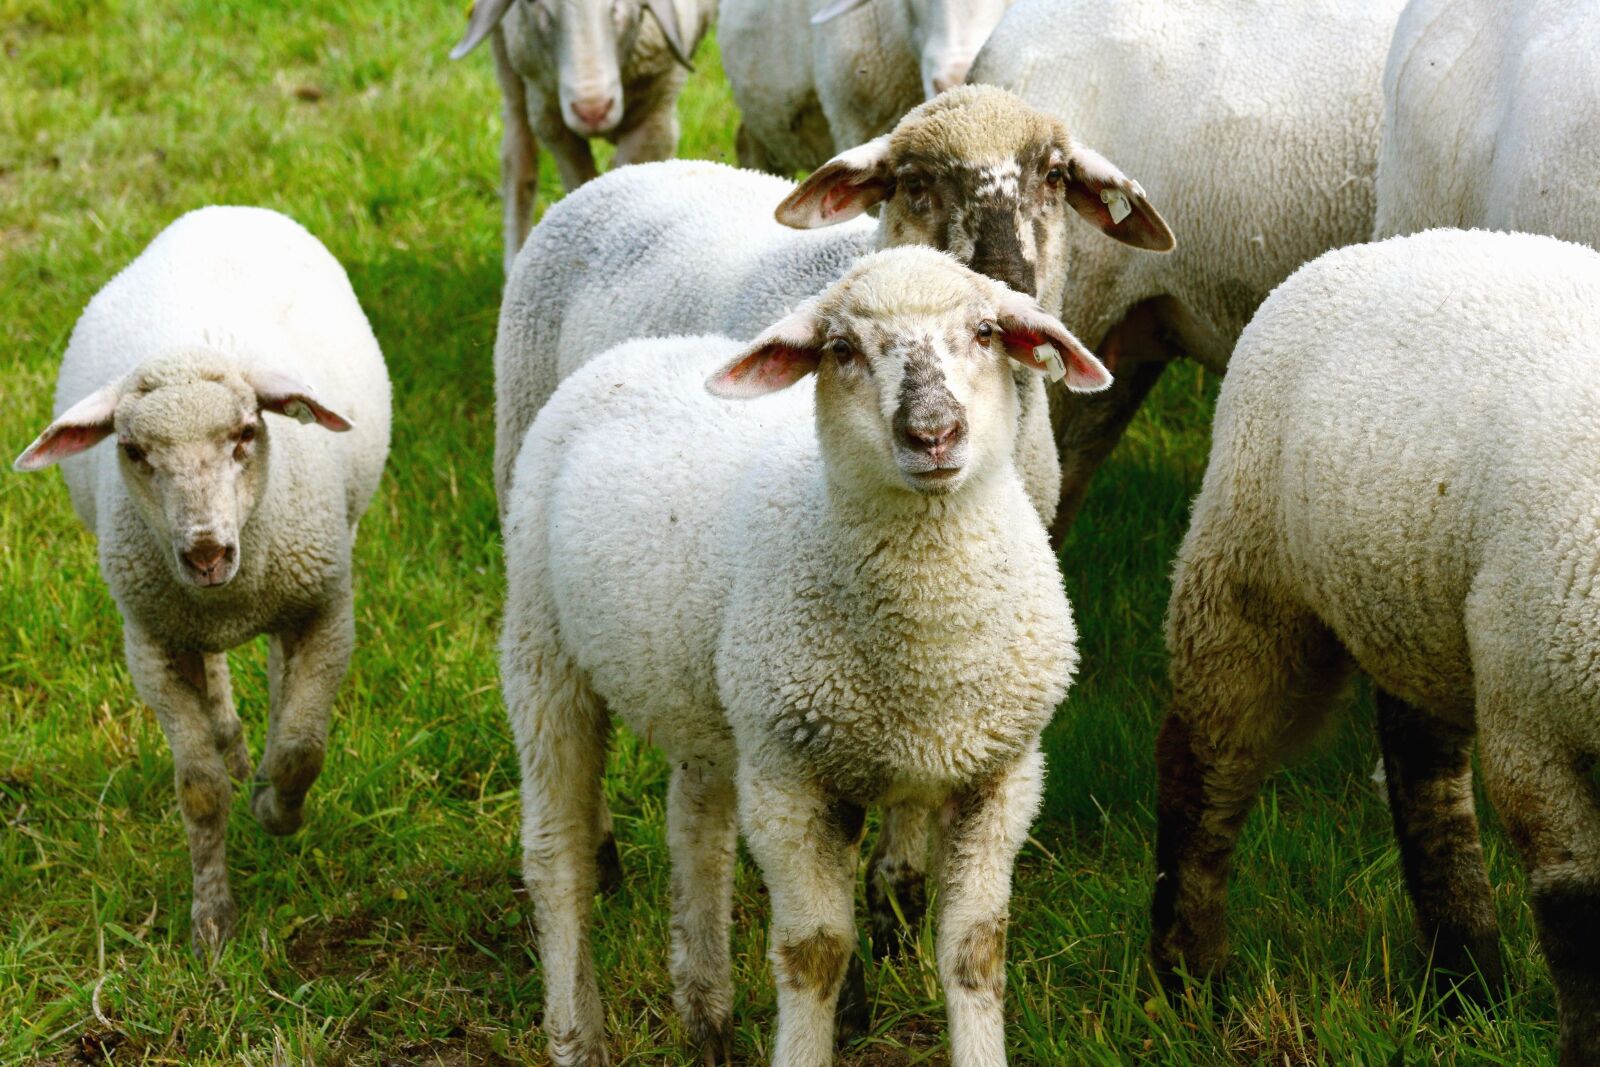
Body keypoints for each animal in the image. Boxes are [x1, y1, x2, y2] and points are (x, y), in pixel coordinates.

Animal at [13, 206, 391, 953]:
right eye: (133, 450)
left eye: (246, 432)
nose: (207, 553)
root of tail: (223, 209)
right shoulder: (152, 644)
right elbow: (199, 789)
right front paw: (212, 923)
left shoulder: (327, 610)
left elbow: (303, 747)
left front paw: (277, 810)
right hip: (181, 616)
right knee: (217, 680)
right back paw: (236, 745)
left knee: (277, 677)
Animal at [449, 0, 713, 275]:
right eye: (537, 5)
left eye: (617, 7)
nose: (592, 111)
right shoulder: (549, 116)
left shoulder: (655, 116)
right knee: (517, 152)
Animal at [500, 247, 1103, 1066]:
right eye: (841, 349)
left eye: (985, 331)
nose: (933, 433)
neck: (930, 659)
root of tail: (638, 350)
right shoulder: (792, 781)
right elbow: (815, 953)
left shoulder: (1000, 772)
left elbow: (976, 950)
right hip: (542, 647)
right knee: (556, 858)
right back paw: (577, 1035)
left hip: (712, 698)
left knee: (697, 827)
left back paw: (706, 1014)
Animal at [1149, 228, 1600, 1057]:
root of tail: (1376, 245)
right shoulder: (1532, 724)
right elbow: (1579, 914)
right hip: (1250, 568)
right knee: (1202, 766)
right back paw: (1190, 978)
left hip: (1414, 605)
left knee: (1421, 772)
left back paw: (1465, 978)